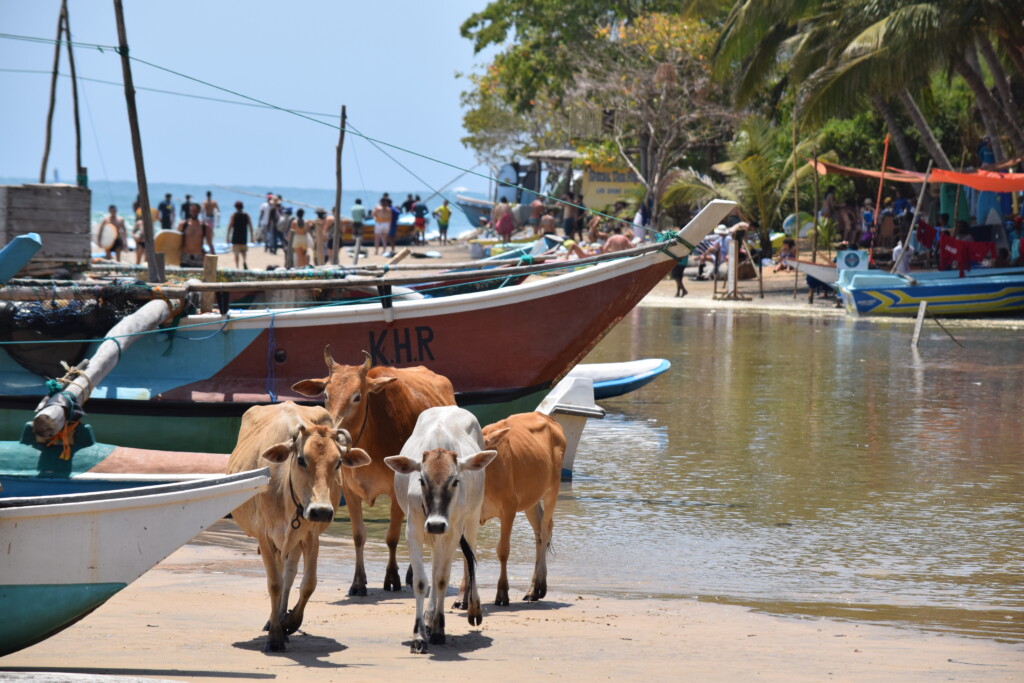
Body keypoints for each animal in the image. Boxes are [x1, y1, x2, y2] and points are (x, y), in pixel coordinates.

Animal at [226, 401, 370, 651]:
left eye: (338, 462)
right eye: (302, 459)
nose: (321, 510)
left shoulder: (310, 535)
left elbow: (308, 583)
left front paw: (290, 622)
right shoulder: (265, 536)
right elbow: (274, 583)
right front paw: (275, 635)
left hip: (294, 541)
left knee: (290, 573)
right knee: (280, 574)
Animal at [290, 350, 454, 593]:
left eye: (357, 396)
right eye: (326, 395)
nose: (335, 434)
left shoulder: (396, 492)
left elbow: (392, 537)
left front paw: (392, 577)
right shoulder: (348, 492)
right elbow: (358, 536)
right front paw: (358, 581)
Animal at [385, 409, 503, 655]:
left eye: (455, 480)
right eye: (422, 480)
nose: (436, 524)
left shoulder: (452, 532)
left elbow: (441, 579)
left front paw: (439, 630)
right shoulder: (414, 531)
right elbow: (422, 581)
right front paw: (420, 635)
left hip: (471, 518)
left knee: (469, 557)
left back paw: (473, 609)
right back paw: (429, 617)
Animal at [473, 411, 569, 602]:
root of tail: (546, 417)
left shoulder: (509, 508)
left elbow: (503, 550)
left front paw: (502, 592)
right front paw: (462, 599)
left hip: (553, 487)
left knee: (545, 528)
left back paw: (538, 586)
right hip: (531, 498)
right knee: (539, 530)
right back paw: (534, 588)